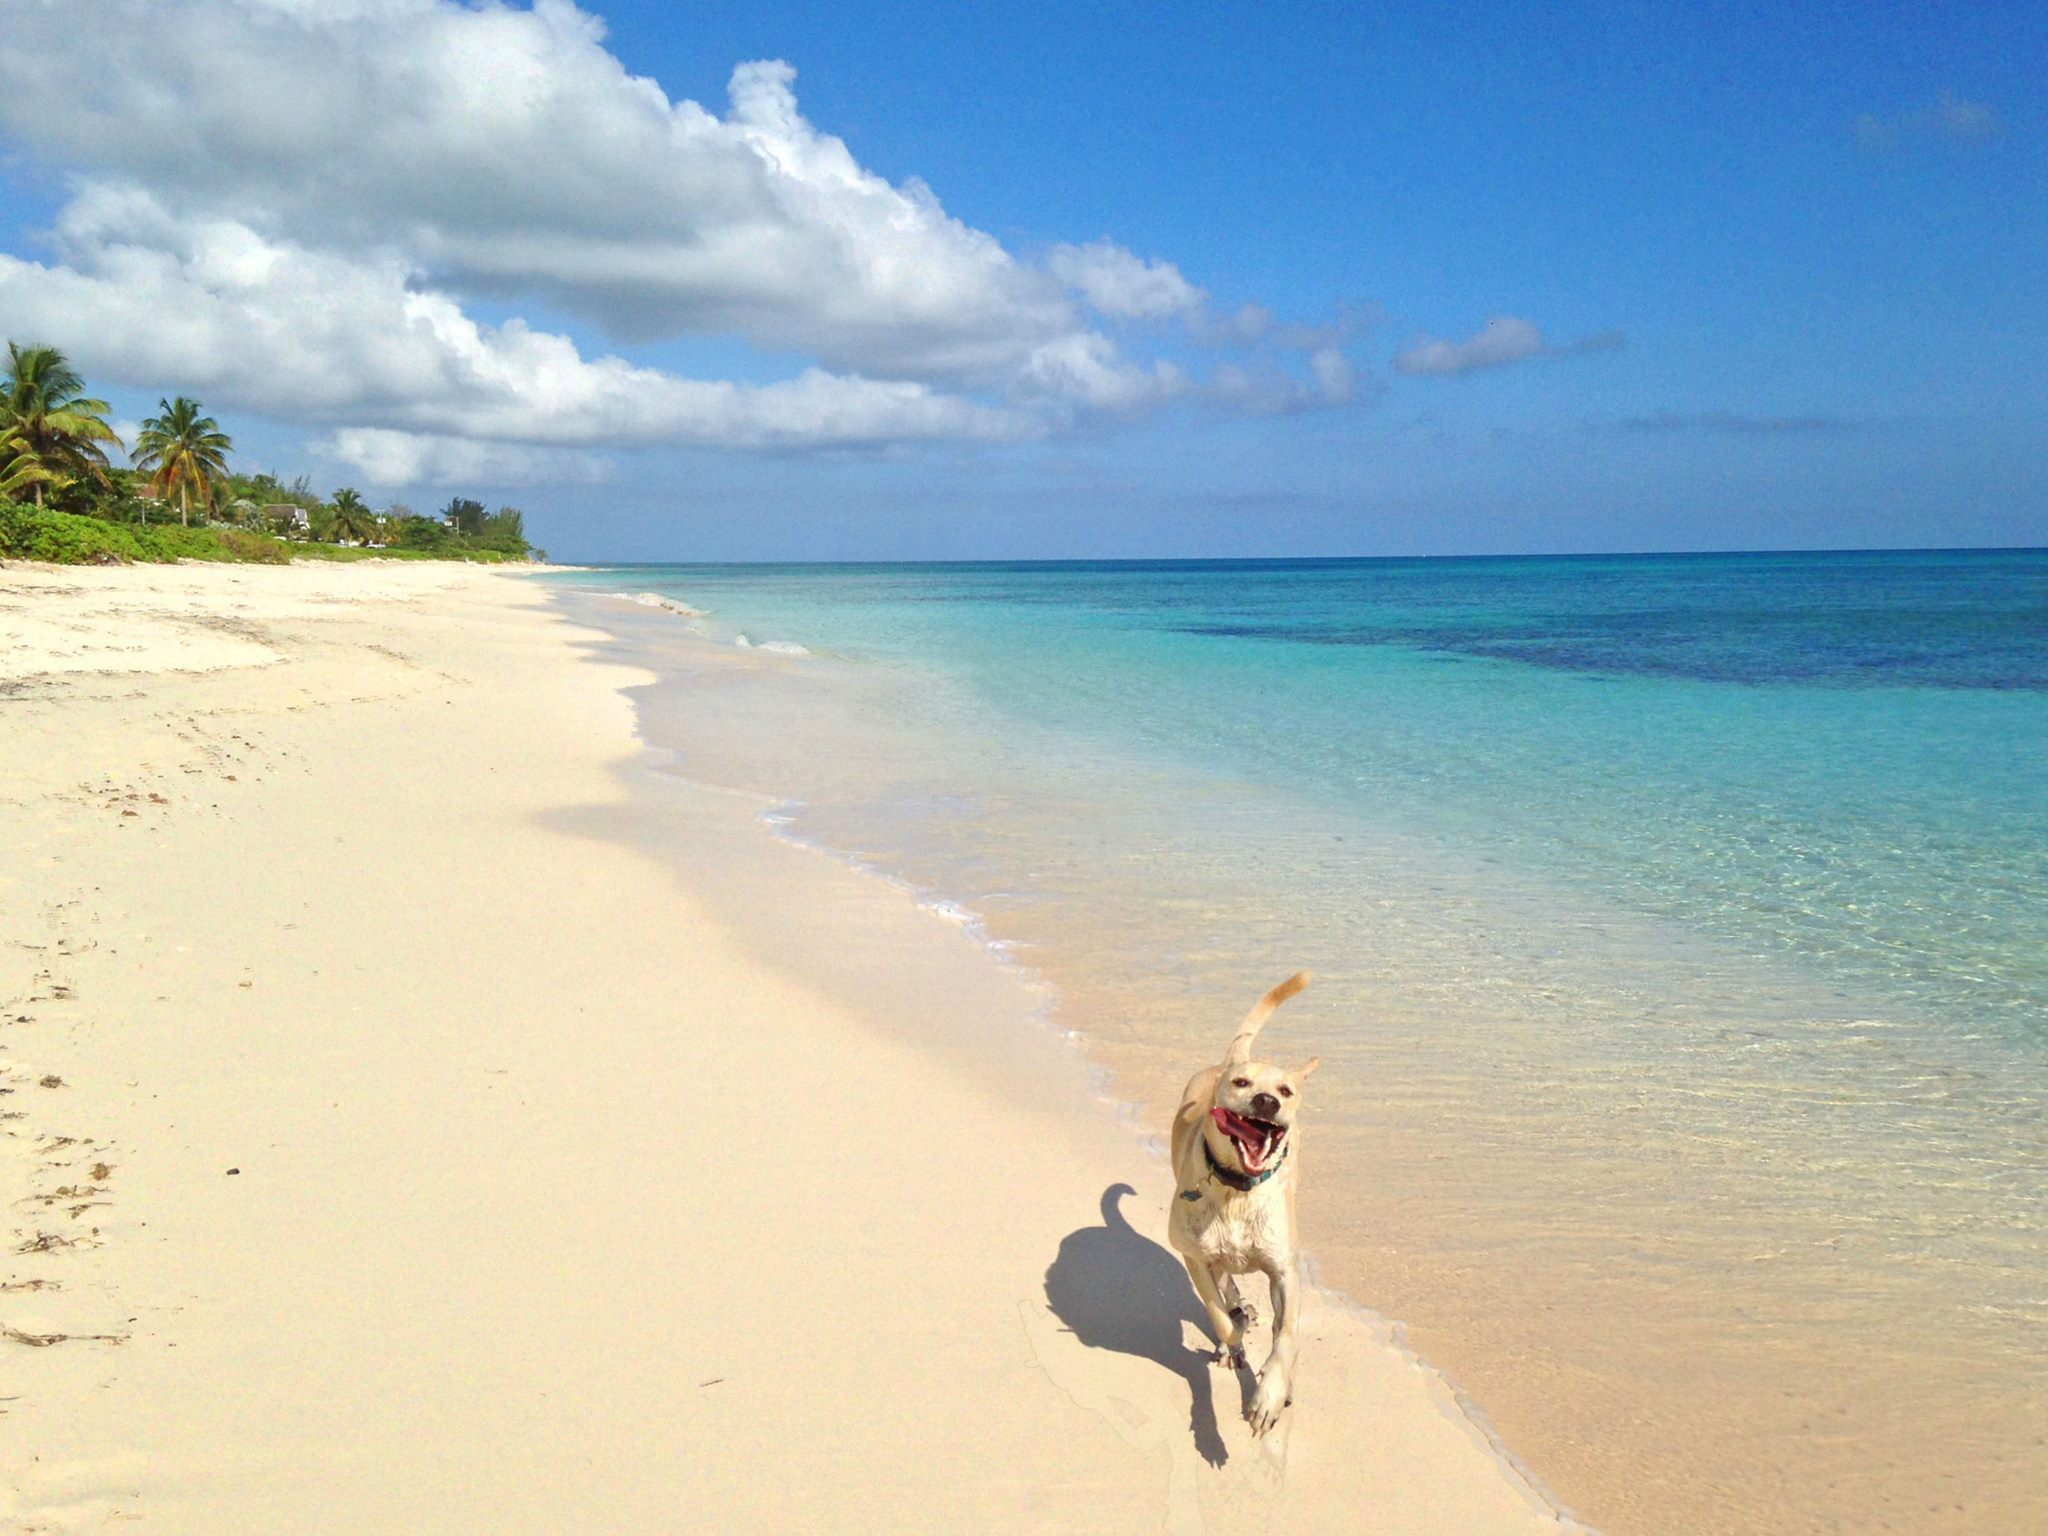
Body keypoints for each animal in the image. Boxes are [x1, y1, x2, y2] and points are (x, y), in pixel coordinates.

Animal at [1171, 978, 1310, 1441]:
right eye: (1242, 1083)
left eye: (1285, 1091)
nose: (1267, 1101)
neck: (1239, 1191)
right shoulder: (1196, 1257)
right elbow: (1220, 1316)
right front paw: (1235, 1331)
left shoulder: (1284, 1271)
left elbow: (1285, 1337)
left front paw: (1270, 1396)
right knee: (1226, 1291)